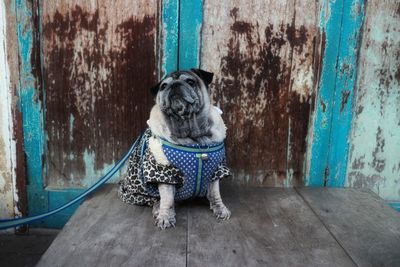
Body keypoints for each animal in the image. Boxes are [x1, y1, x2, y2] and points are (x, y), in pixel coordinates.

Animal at [118, 69, 231, 230]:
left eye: (190, 82)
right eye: (164, 86)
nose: (175, 85)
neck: (192, 136)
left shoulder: (216, 169)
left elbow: (215, 194)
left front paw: (220, 208)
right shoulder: (165, 173)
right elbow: (167, 199)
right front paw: (165, 216)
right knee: (157, 200)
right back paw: (158, 208)